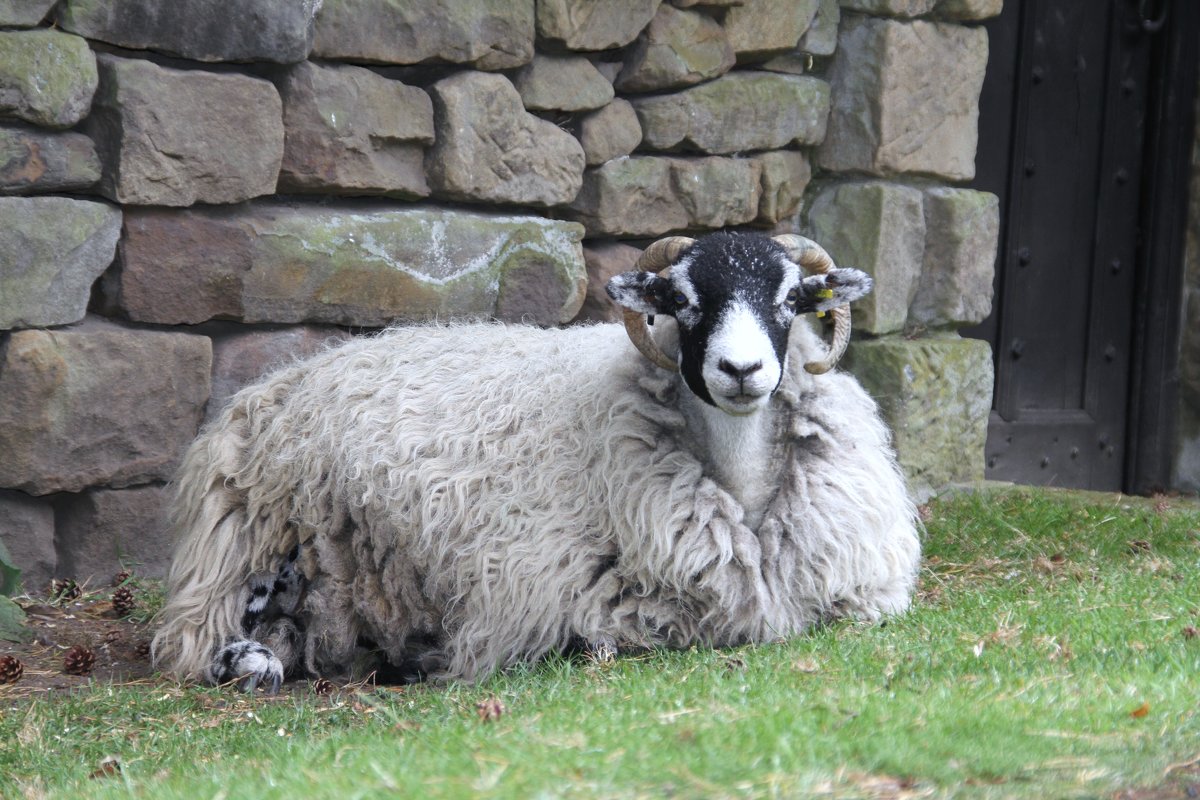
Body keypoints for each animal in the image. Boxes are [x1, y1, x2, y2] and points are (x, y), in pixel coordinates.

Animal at [150, 227, 916, 690]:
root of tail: (276, 381)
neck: (739, 488)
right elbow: (602, 640)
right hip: (251, 542)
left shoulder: (864, 594)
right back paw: (251, 660)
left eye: (791, 298)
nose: (742, 369)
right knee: (206, 637)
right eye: (680, 299)